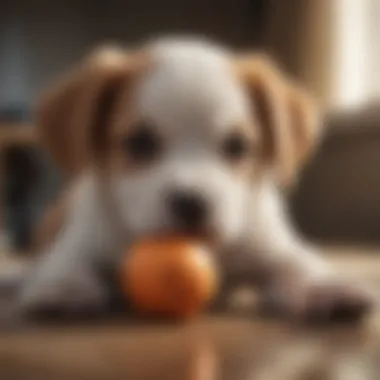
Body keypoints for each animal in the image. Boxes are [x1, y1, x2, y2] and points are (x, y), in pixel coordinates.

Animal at [17, 36, 372, 320]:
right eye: (139, 142)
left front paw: (323, 287)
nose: (191, 203)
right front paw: (62, 286)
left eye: (237, 145)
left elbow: (298, 263)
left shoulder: (268, 246)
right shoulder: (84, 240)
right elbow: (66, 261)